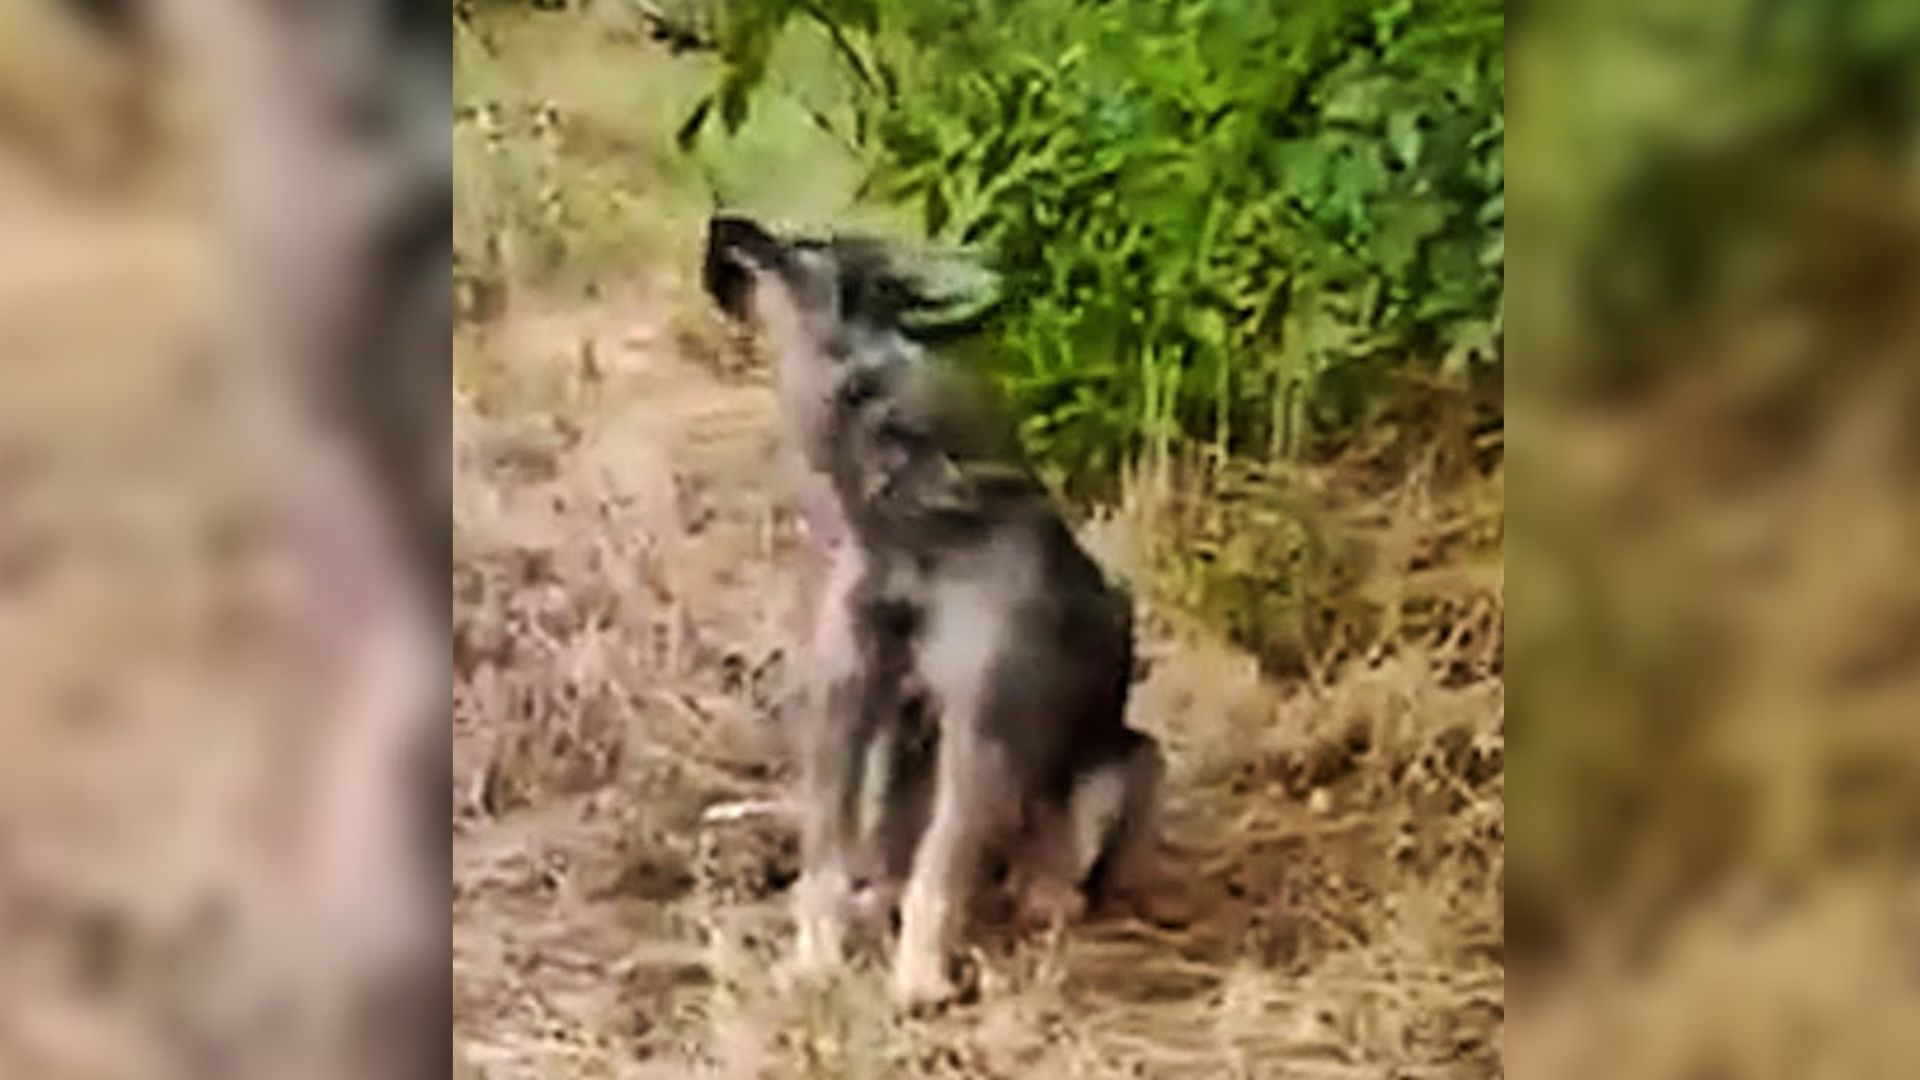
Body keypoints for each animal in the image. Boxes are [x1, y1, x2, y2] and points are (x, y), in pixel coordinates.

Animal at [702, 214, 1152, 1006]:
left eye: (804, 246)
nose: (719, 222)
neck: (910, 527)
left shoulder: (980, 727)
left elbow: (936, 875)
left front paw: (917, 982)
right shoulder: (847, 705)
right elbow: (827, 861)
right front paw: (813, 964)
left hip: (1127, 766)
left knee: (1044, 875)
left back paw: (1041, 900)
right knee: (883, 862)